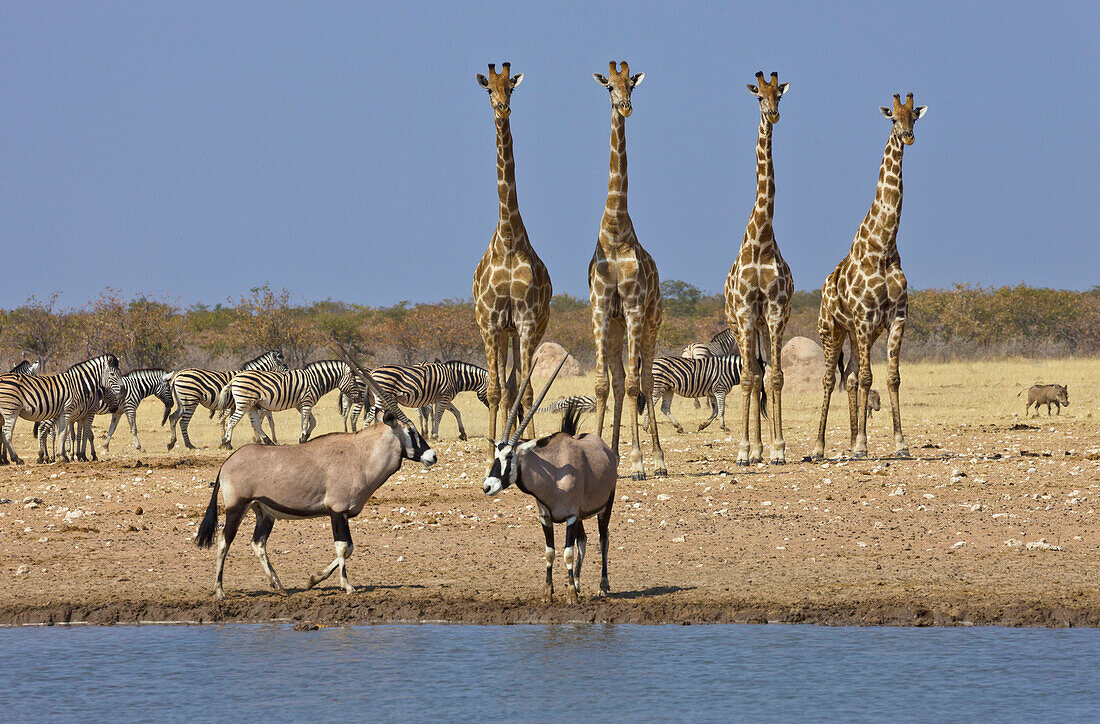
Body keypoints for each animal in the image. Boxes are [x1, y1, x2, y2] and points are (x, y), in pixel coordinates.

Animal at [217, 356, 360, 444]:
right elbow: (304, 423)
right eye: (354, 380)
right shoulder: (306, 403)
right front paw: (303, 439)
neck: (316, 380)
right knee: (232, 421)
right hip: (244, 403)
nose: (359, 396)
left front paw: (305, 437)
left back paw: (268, 441)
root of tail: (234, 378)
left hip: (251, 405)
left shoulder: (301, 405)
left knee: (255, 424)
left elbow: (313, 422)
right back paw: (228, 443)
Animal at [809, 91, 928, 457]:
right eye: (893, 118)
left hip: (859, 333)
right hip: (832, 329)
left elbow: (891, 377)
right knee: (831, 379)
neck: (884, 245)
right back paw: (820, 446)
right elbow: (866, 378)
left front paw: (900, 444)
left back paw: (849, 442)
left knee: (848, 376)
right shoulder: (863, 319)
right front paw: (863, 443)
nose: (908, 136)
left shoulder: (896, 319)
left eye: (914, 117)